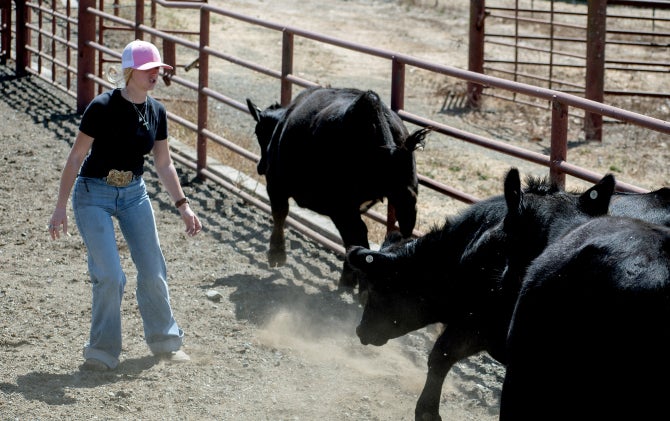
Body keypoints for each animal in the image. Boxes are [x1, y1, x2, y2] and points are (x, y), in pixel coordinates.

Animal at [247, 87, 429, 288]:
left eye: (258, 132)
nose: (260, 166)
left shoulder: (275, 185)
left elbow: (279, 214)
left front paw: (276, 255)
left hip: (341, 206)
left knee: (356, 235)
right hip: (404, 198)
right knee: (394, 234)